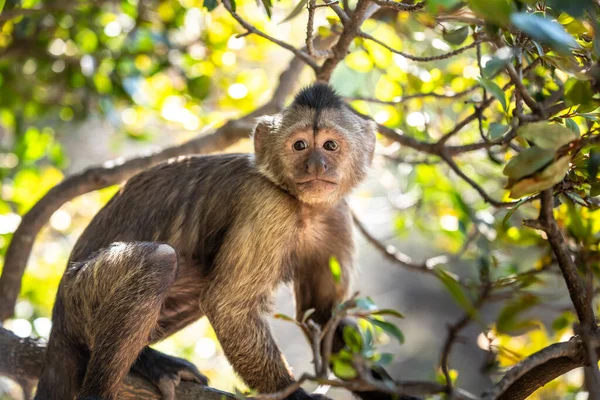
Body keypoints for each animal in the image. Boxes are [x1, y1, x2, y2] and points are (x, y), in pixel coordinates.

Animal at [34, 83, 408, 400]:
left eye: (330, 145)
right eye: (300, 145)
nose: (317, 165)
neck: (304, 207)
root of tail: (57, 314)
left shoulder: (338, 216)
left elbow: (323, 315)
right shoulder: (268, 203)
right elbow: (228, 306)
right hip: (79, 298)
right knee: (160, 262)